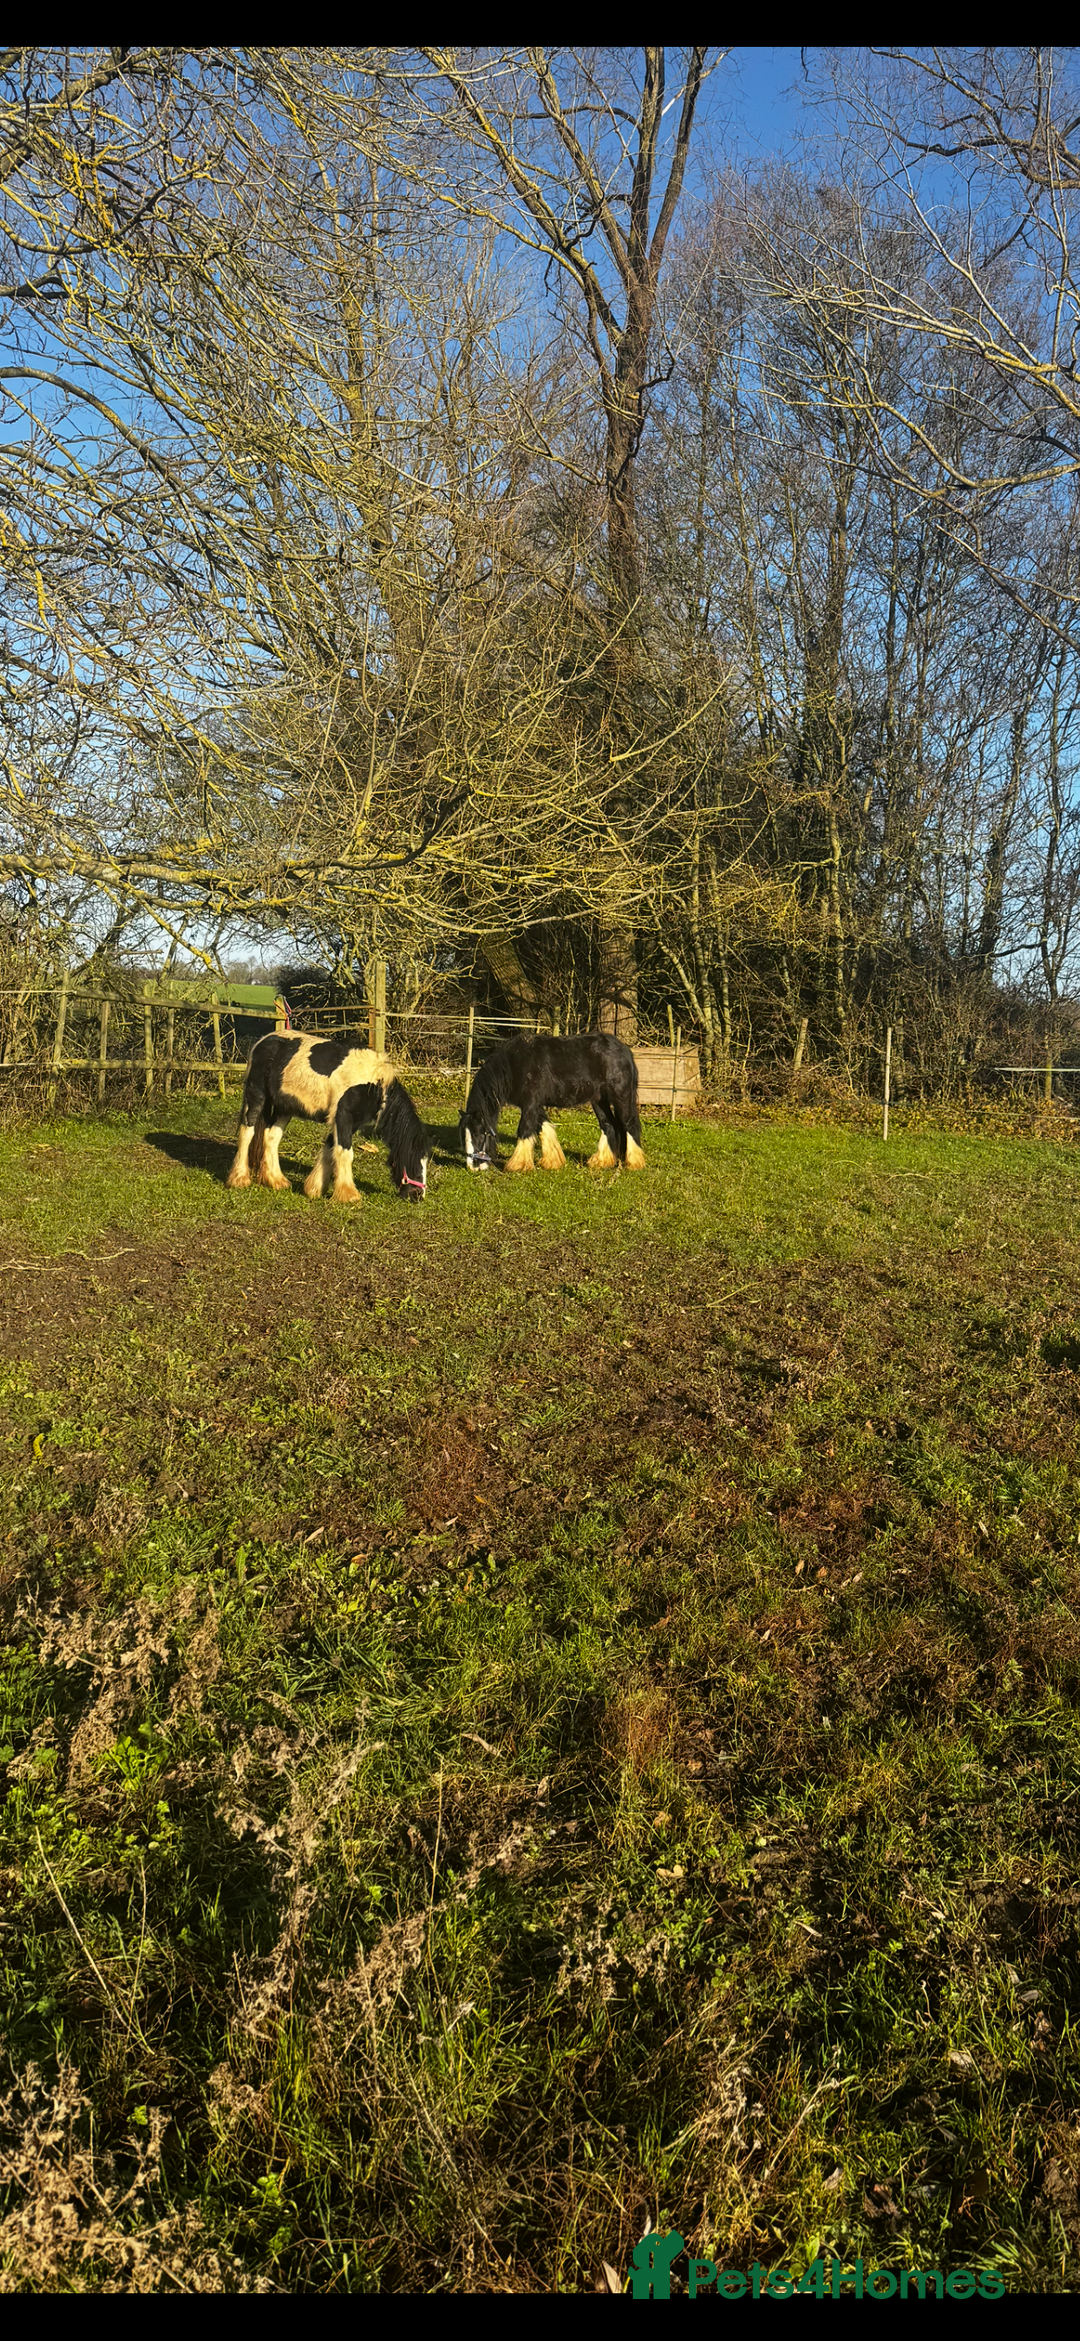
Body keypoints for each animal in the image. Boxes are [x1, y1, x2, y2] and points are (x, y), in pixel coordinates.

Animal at [225, 1031, 428, 1202]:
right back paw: (239, 1179)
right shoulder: (343, 1117)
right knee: (247, 1131)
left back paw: (276, 1181)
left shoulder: (349, 1123)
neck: (374, 1085)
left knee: (271, 1136)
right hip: (257, 1095)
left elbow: (330, 1149)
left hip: (284, 1108)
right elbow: (345, 1153)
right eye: (416, 1164)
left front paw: (314, 1188)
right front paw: (349, 1195)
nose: (418, 1196)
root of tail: (262, 1042)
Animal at [459, 1032, 646, 1173]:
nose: (473, 1167)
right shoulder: (534, 1104)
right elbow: (544, 1127)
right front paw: (552, 1161)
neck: (514, 1065)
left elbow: (525, 1129)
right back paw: (601, 1161)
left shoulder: (530, 1103)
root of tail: (625, 1050)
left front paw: (517, 1165)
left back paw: (634, 1163)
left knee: (629, 1124)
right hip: (599, 1100)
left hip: (620, 1096)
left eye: (477, 1134)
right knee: (608, 1125)